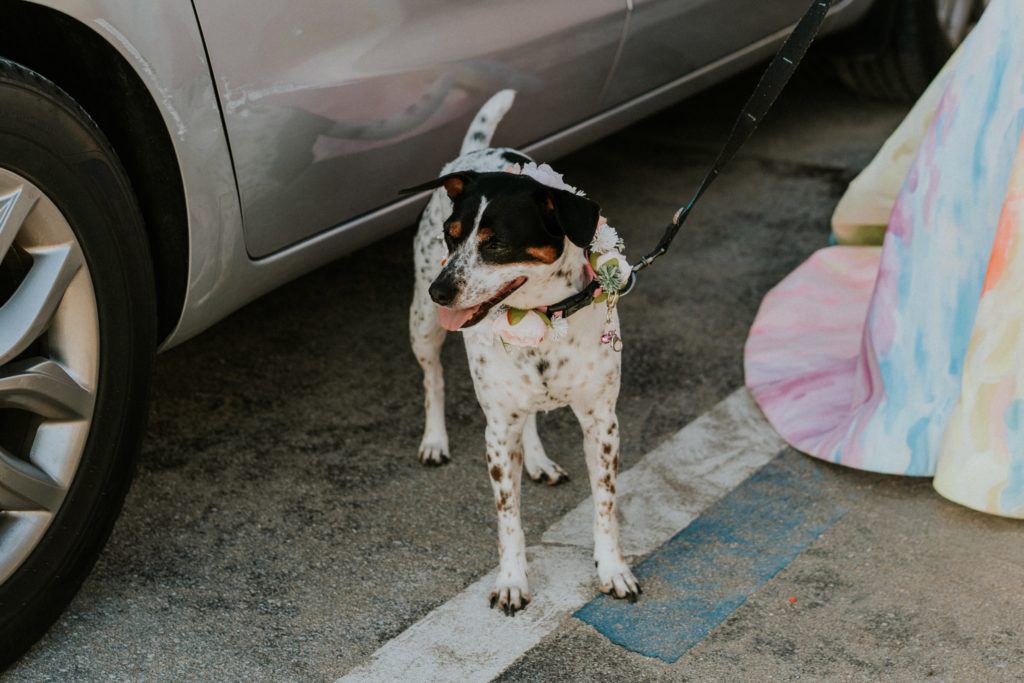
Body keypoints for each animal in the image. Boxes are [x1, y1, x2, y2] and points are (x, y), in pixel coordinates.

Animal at [403, 90, 634, 614]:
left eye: (497, 244)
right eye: (452, 235)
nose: (440, 291)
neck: (540, 315)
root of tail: (475, 152)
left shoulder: (602, 423)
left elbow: (606, 503)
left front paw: (612, 568)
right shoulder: (496, 432)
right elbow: (508, 517)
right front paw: (512, 580)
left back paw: (538, 460)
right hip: (422, 327)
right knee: (432, 379)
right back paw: (434, 439)